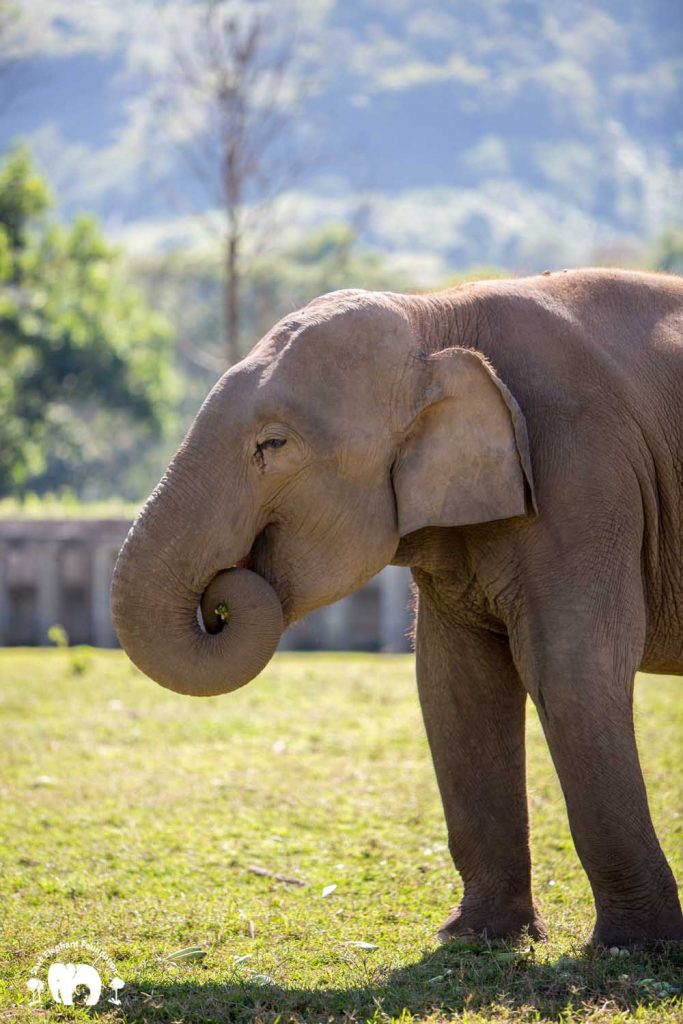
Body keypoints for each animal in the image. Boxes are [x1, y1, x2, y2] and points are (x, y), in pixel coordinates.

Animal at [112, 268, 683, 948]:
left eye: (273, 444)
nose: (220, 600)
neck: (435, 315)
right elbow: (455, 685)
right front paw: (476, 936)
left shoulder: (585, 478)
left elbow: (573, 672)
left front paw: (633, 948)